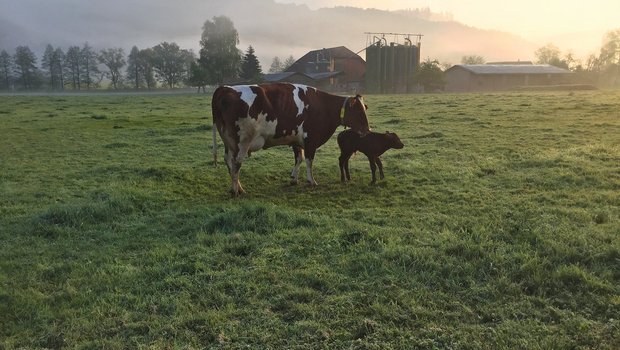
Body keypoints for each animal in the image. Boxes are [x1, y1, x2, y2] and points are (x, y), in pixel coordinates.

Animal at [211, 83, 370, 196]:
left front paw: (294, 178)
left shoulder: (296, 139)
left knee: (229, 161)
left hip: (228, 141)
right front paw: (311, 181)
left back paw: (238, 188)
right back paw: (236, 191)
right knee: (236, 164)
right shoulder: (311, 139)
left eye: (364, 109)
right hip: (243, 141)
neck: (323, 106)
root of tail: (224, 88)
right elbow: (309, 160)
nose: (367, 130)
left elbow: (299, 158)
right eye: (358, 111)